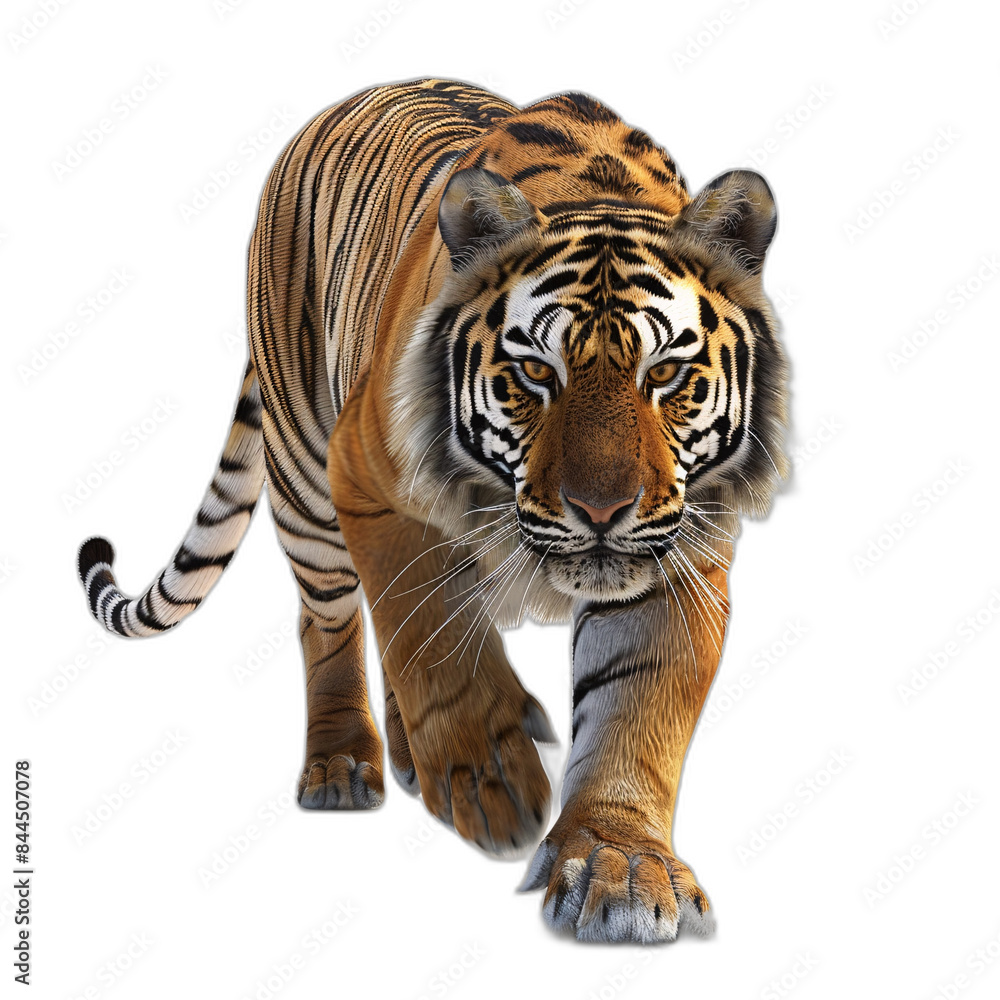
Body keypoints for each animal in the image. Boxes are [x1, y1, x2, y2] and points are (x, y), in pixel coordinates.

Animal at [76, 78, 789, 943]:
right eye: (535, 372)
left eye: (665, 374)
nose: (601, 509)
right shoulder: (368, 482)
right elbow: (433, 638)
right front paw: (489, 781)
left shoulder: (678, 560)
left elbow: (636, 712)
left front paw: (618, 868)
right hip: (306, 476)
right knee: (331, 621)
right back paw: (344, 765)